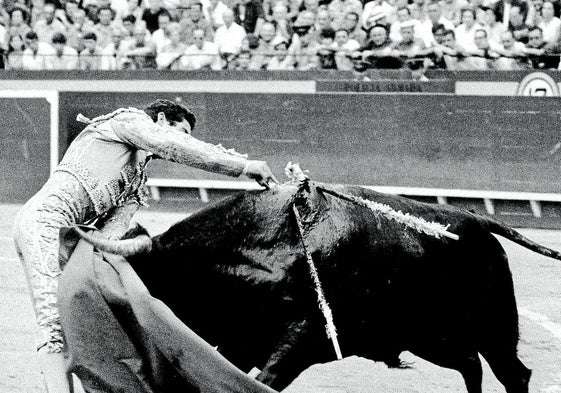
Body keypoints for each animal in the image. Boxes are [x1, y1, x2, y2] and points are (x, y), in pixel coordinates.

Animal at [74, 181, 560, 392]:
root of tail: (479, 222)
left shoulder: (299, 342)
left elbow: (263, 382)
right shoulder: (240, 341)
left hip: (493, 327)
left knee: (512, 373)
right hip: (431, 337)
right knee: (471, 367)